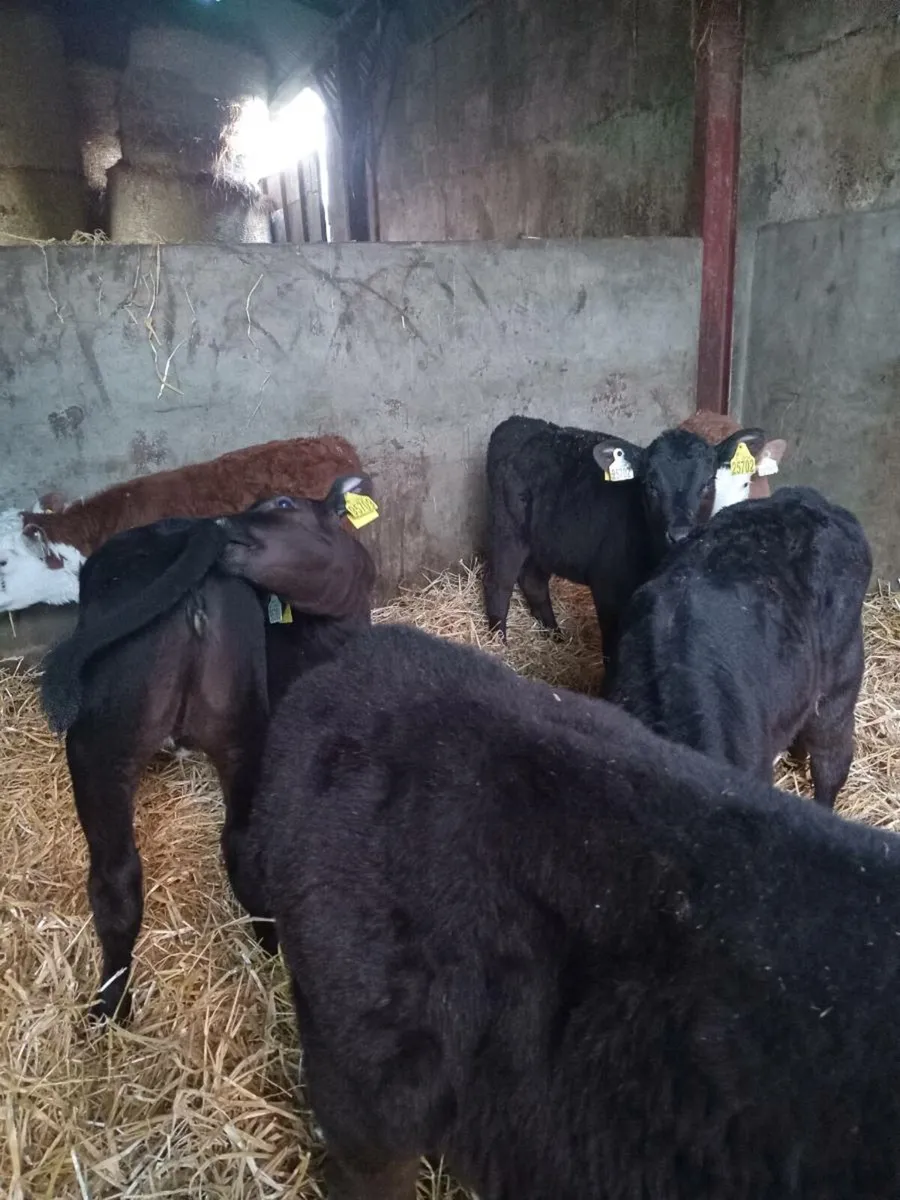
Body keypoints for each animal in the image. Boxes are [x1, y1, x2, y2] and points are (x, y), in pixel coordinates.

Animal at [40, 475, 376, 1022]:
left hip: (106, 741)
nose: (221, 522)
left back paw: (110, 1007)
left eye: (284, 503)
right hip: (230, 729)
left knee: (118, 876)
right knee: (236, 847)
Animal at [483, 414, 770, 662]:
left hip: (543, 541)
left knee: (533, 582)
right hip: (507, 529)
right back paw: (499, 644)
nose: (680, 534)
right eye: (650, 484)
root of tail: (518, 423)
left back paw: (555, 636)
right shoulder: (607, 589)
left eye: (708, 482)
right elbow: (612, 649)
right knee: (499, 583)